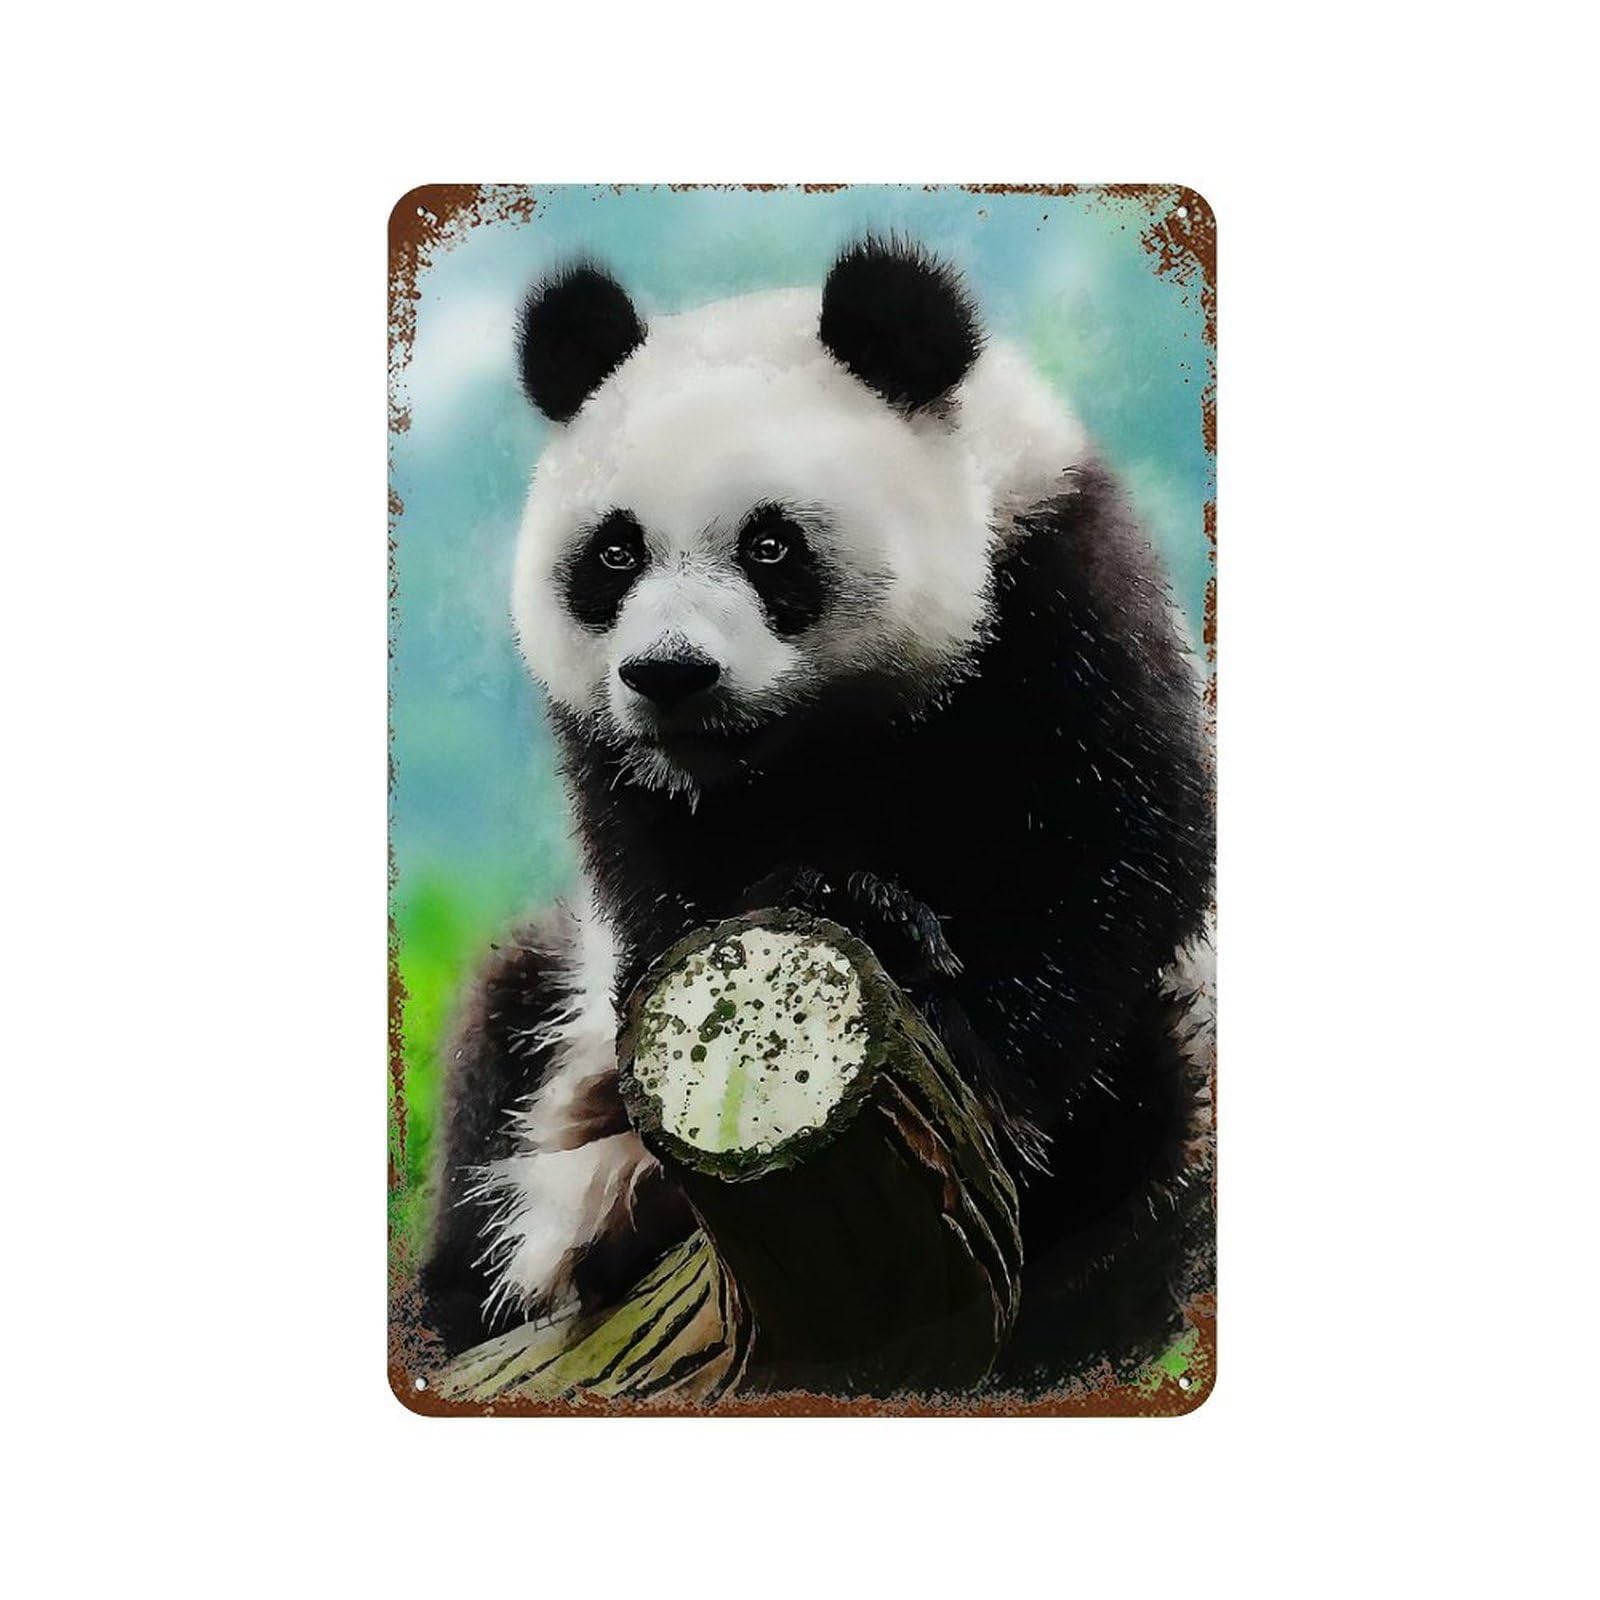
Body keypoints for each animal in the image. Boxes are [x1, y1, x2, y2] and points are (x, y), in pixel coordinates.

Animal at [418, 238, 1215, 1388]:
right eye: (615, 553)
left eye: (771, 546)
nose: (671, 673)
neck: (807, 746)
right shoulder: (618, 766)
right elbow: (657, 896)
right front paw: (833, 893)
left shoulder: (1060, 595)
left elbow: (1111, 853)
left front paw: (955, 1021)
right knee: (503, 1037)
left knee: (1148, 1092)